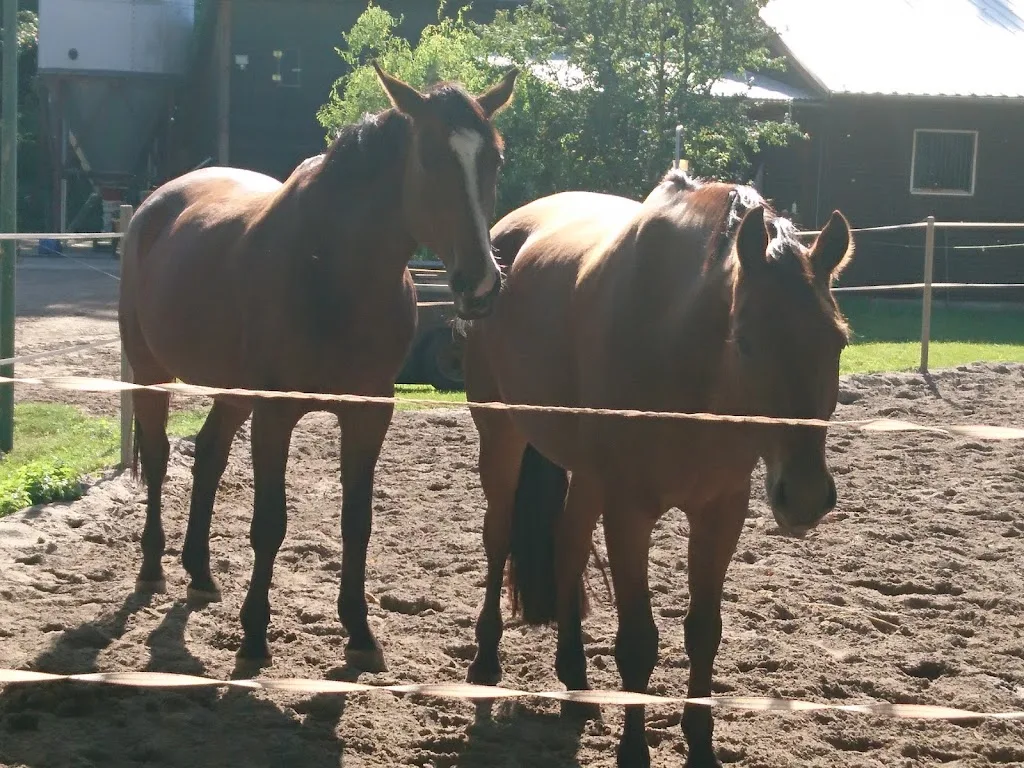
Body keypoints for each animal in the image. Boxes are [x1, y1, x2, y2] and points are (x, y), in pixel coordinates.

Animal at [118, 63, 518, 671]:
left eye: (494, 159)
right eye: (429, 156)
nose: (480, 284)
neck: (329, 268)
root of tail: (152, 206)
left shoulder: (369, 413)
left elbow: (358, 522)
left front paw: (360, 632)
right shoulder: (276, 413)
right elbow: (269, 524)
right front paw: (254, 636)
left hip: (233, 390)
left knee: (208, 455)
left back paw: (202, 574)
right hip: (149, 370)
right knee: (162, 459)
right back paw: (151, 569)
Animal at [460, 171, 855, 767]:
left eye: (839, 341)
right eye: (745, 341)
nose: (805, 496)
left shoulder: (720, 513)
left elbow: (704, 632)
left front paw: (701, 746)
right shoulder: (629, 512)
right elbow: (638, 641)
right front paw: (633, 750)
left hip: (585, 474)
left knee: (567, 546)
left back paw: (575, 682)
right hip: (503, 439)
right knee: (499, 537)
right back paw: (486, 665)